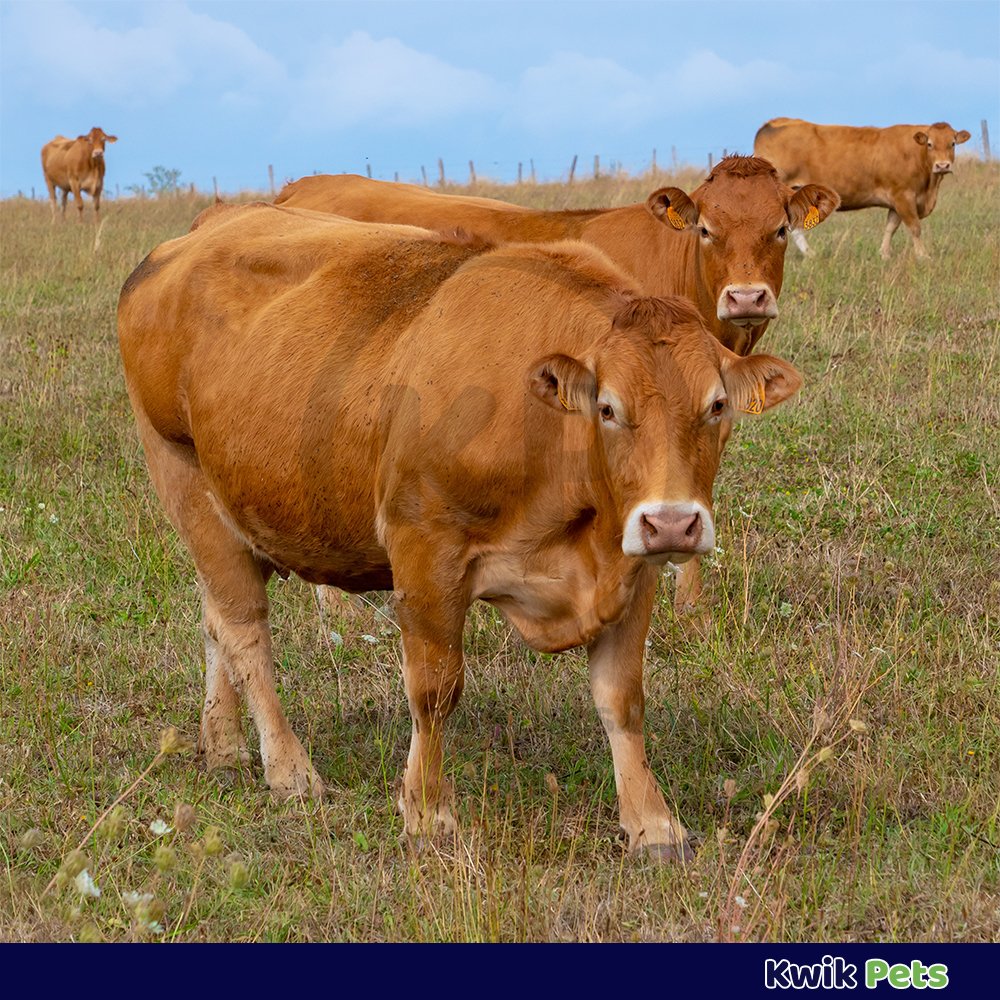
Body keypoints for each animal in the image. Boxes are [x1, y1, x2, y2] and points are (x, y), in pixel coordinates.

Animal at [118, 202, 802, 861]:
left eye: (717, 405)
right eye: (608, 408)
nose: (672, 521)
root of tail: (194, 236)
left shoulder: (632, 567)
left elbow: (622, 699)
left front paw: (654, 825)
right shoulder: (425, 550)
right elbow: (434, 690)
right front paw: (427, 814)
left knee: (216, 619)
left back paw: (224, 744)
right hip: (186, 484)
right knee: (245, 632)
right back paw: (289, 769)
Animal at [754, 118, 971, 258]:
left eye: (952, 143)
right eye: (930, 144)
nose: (942, 165)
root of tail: (775, 122)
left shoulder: (896, 201)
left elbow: (890, 227)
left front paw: (884, 254)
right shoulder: (904, 196)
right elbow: (915, 228)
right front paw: (923, 256)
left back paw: (810, 254)